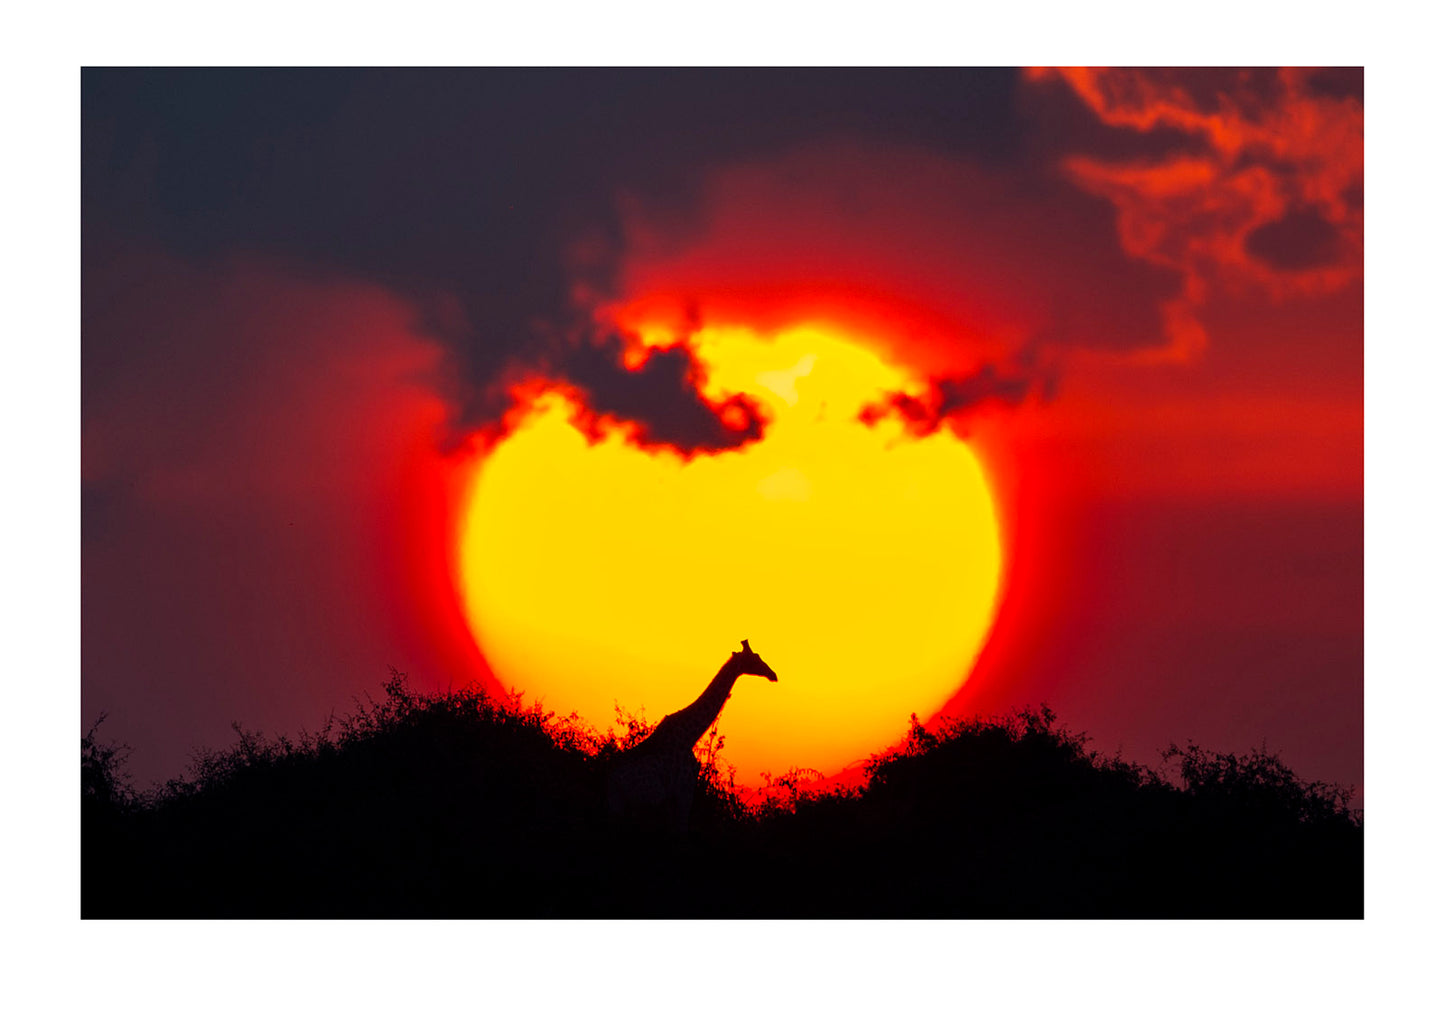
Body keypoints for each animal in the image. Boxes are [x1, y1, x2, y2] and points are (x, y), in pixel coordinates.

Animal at [605, 640, 778, 834]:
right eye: (755, 657)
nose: (773, 674)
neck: (690, 736)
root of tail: (608, 780)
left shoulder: (672, 797)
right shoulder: (684, 788)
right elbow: (682, 829)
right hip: (622, 805)